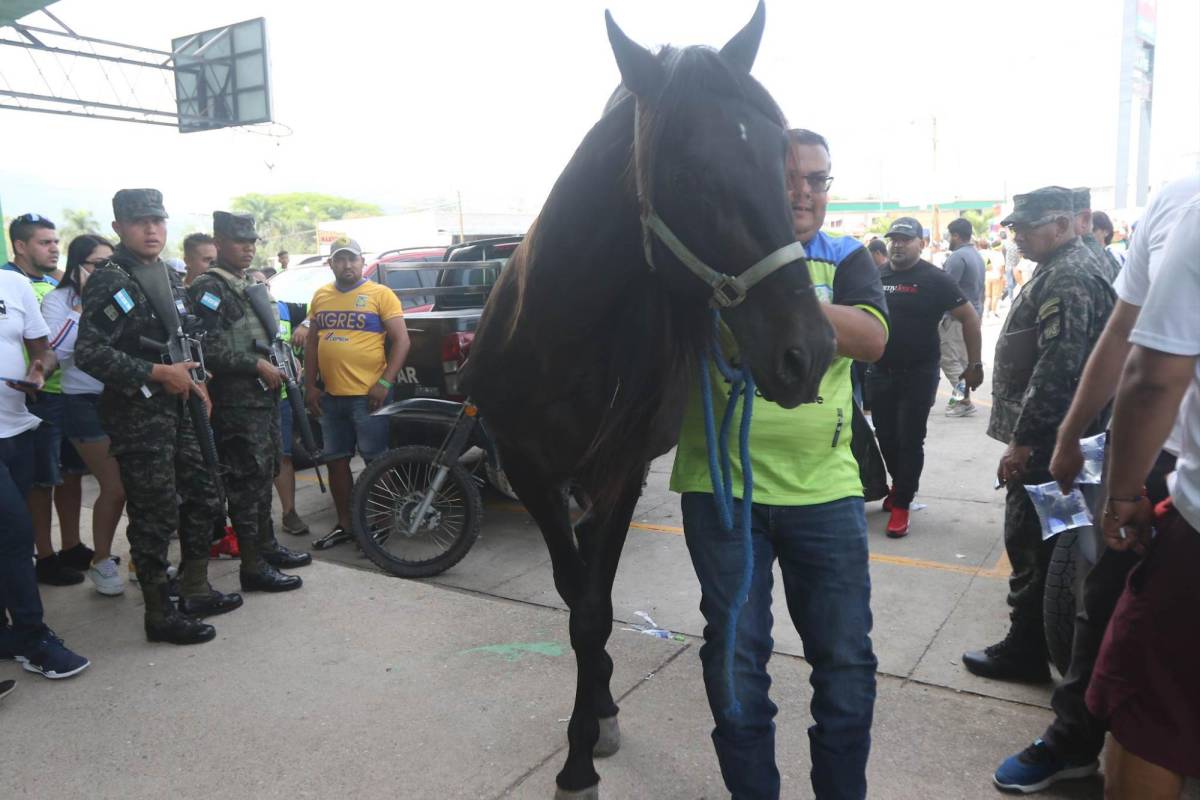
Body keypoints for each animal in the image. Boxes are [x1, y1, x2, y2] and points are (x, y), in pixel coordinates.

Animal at [458, 4, 835, 796]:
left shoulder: (621, 472)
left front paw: (585, 737)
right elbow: (578, 601)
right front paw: (584, 740)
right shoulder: (532, 470)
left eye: (781, 163)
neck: (563, 335)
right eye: (688, 172)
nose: (807, 353)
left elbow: (594, 608)